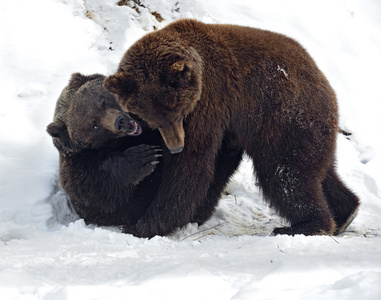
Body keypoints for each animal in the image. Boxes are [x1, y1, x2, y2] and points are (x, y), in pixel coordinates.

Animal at [104, 19, 360, 238]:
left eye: (177, 112)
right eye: (152, 120)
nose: (176, 146)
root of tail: (325, 83)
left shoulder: (211, 99)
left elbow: (192, 163)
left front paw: (144, 224)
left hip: (285, 117)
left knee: (284, 172)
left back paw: (306, 225)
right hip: (307, 127)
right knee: (318, 170)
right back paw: (346, 213)